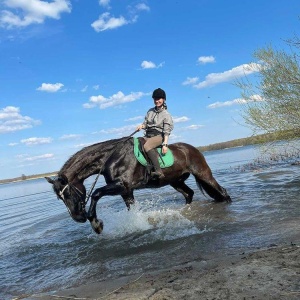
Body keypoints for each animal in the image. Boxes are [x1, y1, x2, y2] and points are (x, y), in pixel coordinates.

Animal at [45, 136, 231, 234]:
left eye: (67, 193)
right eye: (60, 198)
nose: (78, 218)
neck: (111, 157)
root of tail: (193, 149)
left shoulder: (122, 185)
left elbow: (96, 193)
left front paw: (97, 224)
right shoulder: (126, 191)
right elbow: (132, 209)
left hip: (203, 174)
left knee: (221, 191)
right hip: (175, 181)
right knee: (189, 194)